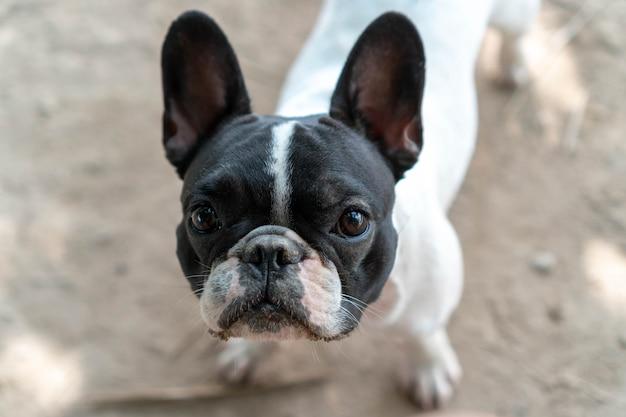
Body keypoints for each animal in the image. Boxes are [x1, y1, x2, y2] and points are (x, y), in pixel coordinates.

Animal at [158, 0, 540, 410]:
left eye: (353, 221)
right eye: (204, 217)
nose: (269, 251)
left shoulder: (433, 292)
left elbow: (423, 329)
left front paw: (428, 366)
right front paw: (249, 352)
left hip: (512, 16)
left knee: (518, 31)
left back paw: (515, 65)